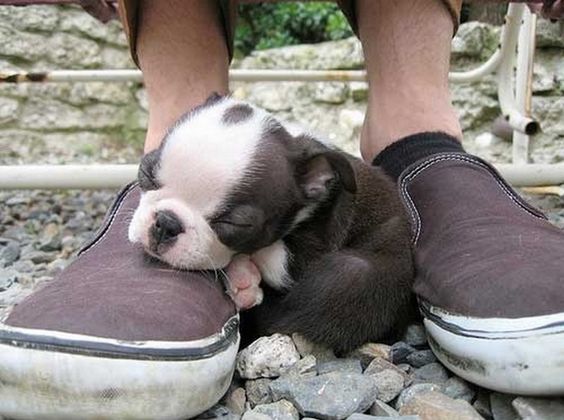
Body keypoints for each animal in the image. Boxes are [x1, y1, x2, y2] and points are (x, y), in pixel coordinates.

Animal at [130, 93, 416, 352]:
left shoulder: (318, 244)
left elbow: (269, 255)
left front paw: (242, 275)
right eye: (145, 173)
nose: (166, 224)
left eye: (234, 224)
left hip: (353, 273)